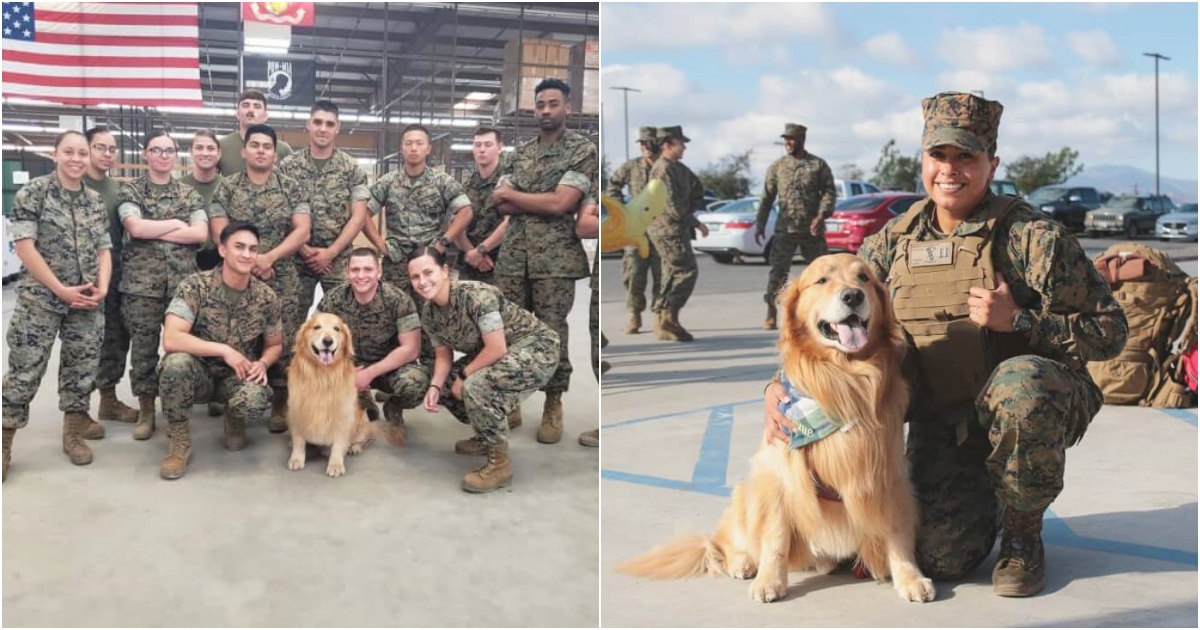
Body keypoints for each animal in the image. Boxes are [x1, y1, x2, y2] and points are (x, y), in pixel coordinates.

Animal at [285, 309, 374, 477]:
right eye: (316, 327)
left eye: (337, 329)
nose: (327, 341)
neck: (322, 375)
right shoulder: (297, 409)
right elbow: (299, 440)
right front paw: (296, 458)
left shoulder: (342, 413)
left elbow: (339, 443)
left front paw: (336, 464)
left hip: (363, 420)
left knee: (362, 440)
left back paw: (354, 447)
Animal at [619, 253, 936, 602]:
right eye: (822, 280)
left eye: (864, 277)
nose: (853, 296)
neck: (843, 377)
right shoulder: (779, 474)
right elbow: (775, 538)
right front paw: (770, 581)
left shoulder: (888, 474)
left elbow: (897, 531)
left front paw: (909, 576)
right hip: (748, 491)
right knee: (721, 543)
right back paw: (742, 563)